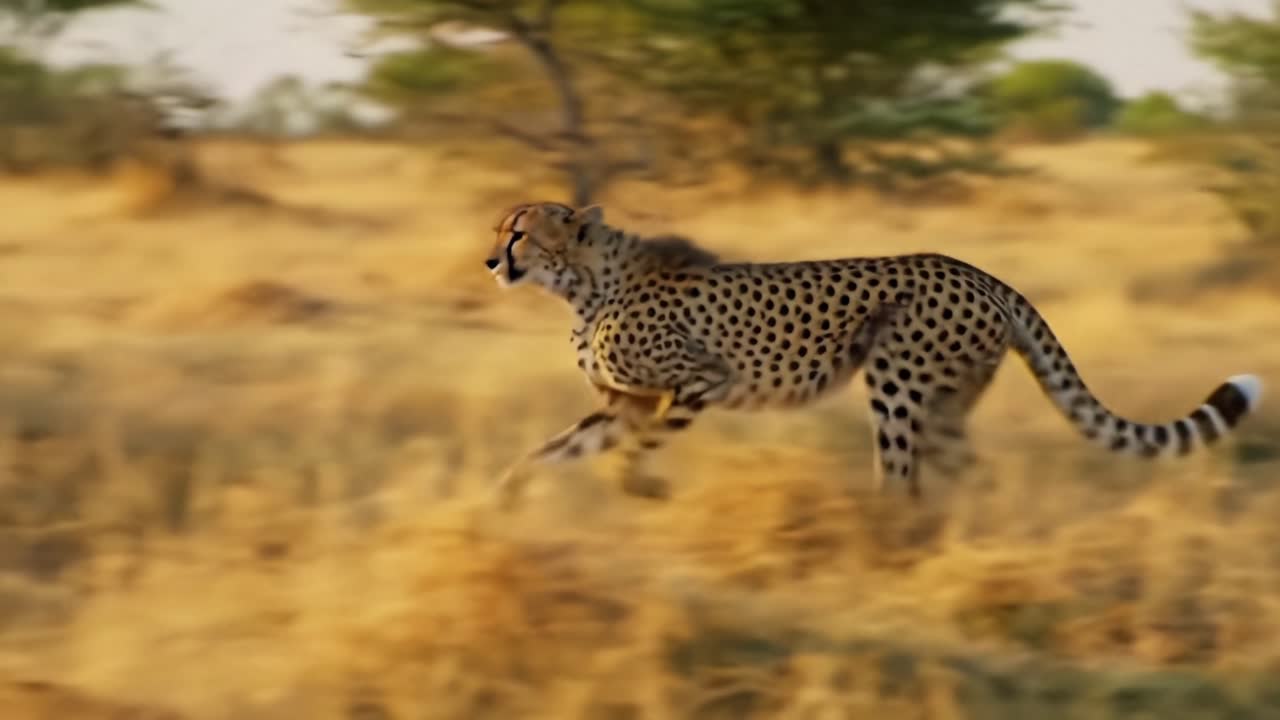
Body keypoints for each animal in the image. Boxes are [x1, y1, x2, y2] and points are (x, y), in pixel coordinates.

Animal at [482, 201, 1264, 506]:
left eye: (520, 233)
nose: (490, 261)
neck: (585, 284)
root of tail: (975, 270)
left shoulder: (700, 380)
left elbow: (632, 452)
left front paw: (643, 489)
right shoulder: (625, 404)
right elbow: (554, 449)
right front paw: (506, 495)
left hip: (896, 376)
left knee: (901, 478)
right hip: (945, 403)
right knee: (963, 473)